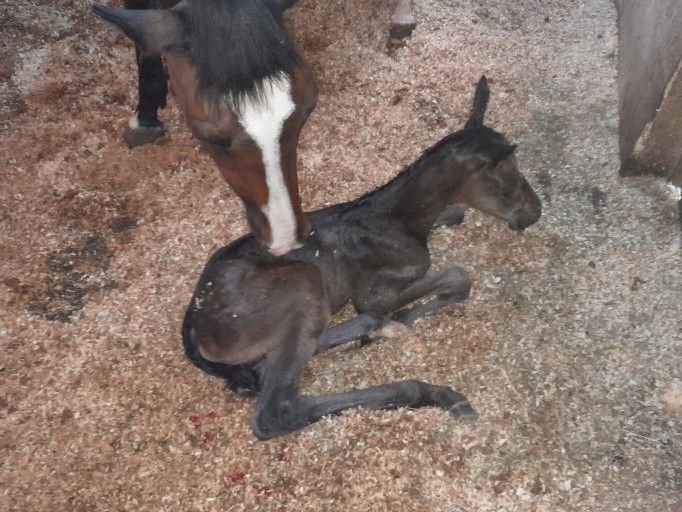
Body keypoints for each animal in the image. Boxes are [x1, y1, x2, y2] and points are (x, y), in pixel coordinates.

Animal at [182, 77, 542, 440]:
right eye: (510, 184)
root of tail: (195, 324)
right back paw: (432, 389)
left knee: (266, 366)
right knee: (274, 412)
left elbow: (454, 214)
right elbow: (457, 277)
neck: (392, 219)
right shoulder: (373, 292)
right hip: (302, 283)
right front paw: (407, 314)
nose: (534, 213)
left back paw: (379, 329)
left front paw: (395, 321)